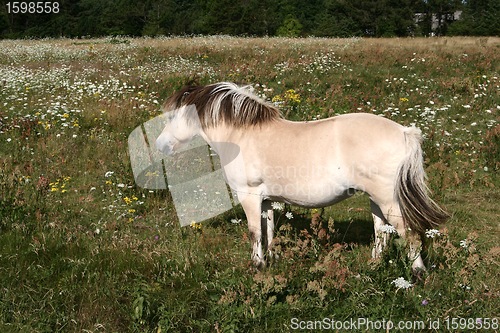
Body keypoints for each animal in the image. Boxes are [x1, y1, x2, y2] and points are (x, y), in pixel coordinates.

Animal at [153, 81, 450, 272]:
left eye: (172, 117)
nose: (160, 144)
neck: (241, 136)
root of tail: (404, 132)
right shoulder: (265, 199)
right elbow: (268, 231)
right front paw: (270, 261)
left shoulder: (248, 195)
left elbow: (254, 232)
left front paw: (256, 267)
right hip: (375, 199)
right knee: (382, 234)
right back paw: (372, 267)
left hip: (388, 199)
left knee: (409, 235)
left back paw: (417, 274)